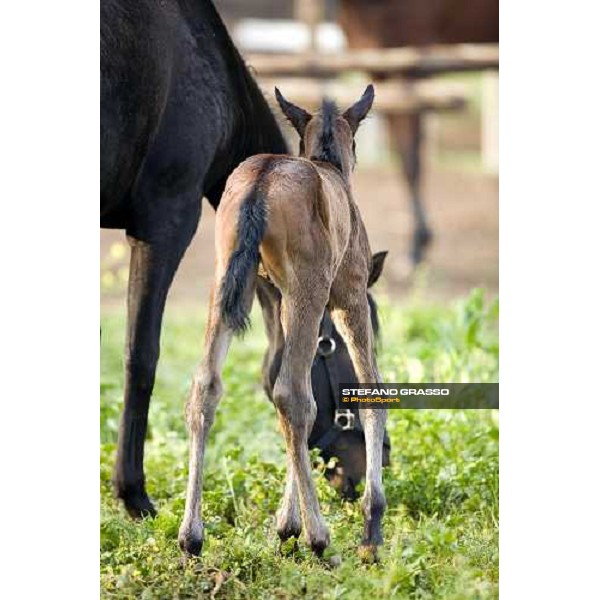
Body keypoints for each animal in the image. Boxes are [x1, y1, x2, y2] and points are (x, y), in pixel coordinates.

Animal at [176, 84, 386, 556]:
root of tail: (261, 183)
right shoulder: (347, 296)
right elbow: (368, 392)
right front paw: (371, 523)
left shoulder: (282, 299)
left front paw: (285, 521)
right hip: (307, 289)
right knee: (293, 394)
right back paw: (319, 537)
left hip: (226, 284)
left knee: (207, 387)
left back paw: (191, 535)